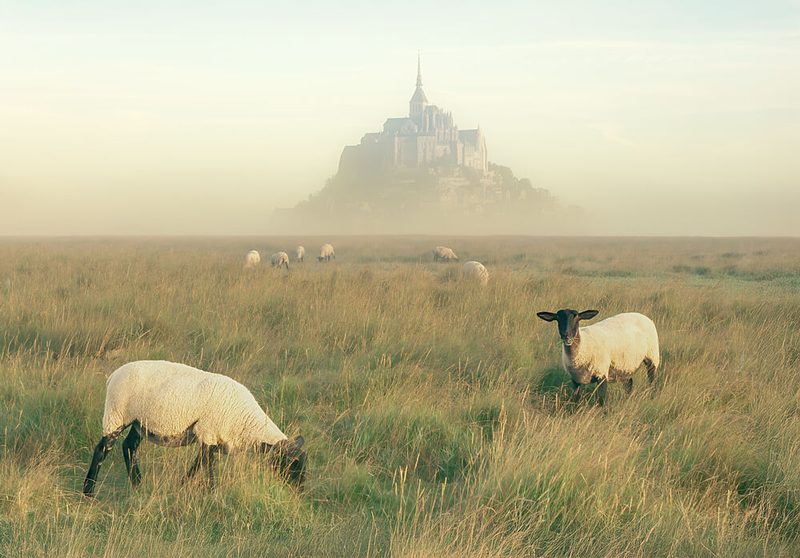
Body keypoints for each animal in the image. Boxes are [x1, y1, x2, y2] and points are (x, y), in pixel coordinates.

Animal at [82, 360, 306, 497]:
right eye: (290, 464)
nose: (299, 492)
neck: (247, 422)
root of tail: (113, 375)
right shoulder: (208, 433)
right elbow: (208, 468)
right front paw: (213, 494)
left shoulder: (210, 437)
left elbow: (196, 466)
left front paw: (181, 486)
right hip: (117, 413)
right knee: (102, 449)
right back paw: (89, 492)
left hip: (139, 423)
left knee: (129, 446)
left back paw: (138, 485)